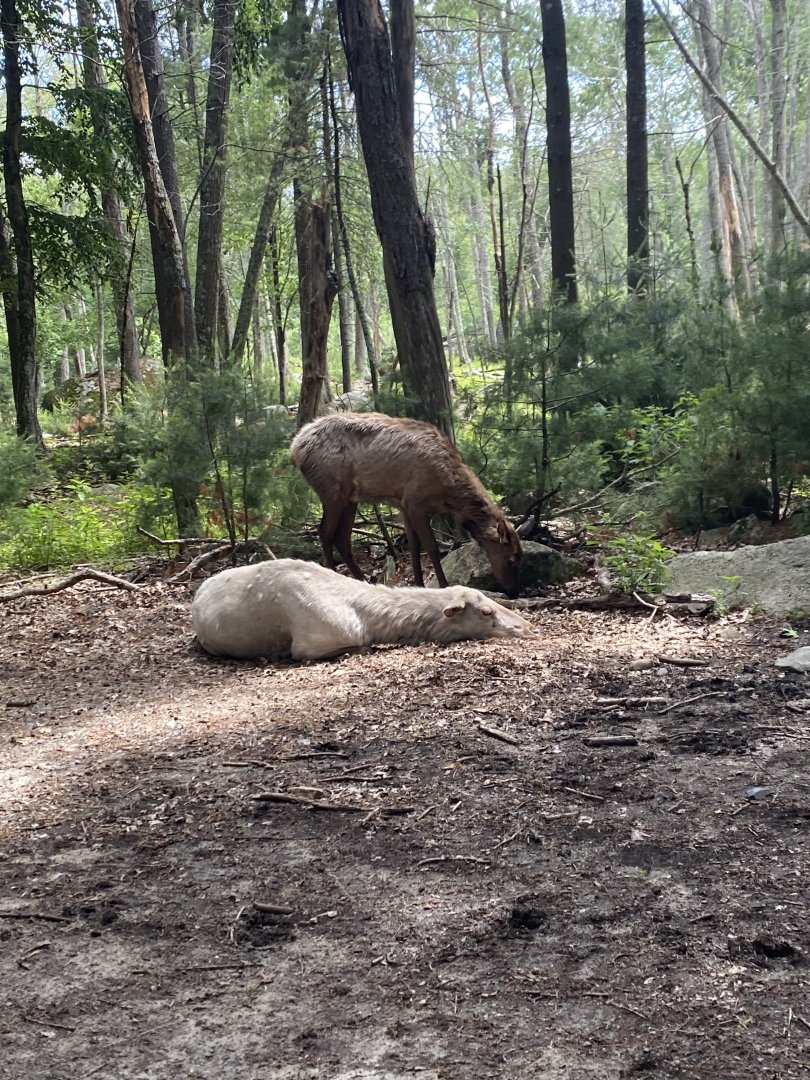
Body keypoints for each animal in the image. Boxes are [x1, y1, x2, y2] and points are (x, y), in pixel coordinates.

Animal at [290, 412, 523, 597]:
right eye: (511, 560)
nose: (514, 591)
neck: (449, 491)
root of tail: (295, 447)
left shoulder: (403, 504)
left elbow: (413, 546)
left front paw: (418, 584)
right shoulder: (414, 501)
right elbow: (431, 546)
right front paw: (443, 584)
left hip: (350, 499)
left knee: (342, 538)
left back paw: (361, 580)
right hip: (332, 490)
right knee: (325, 532)